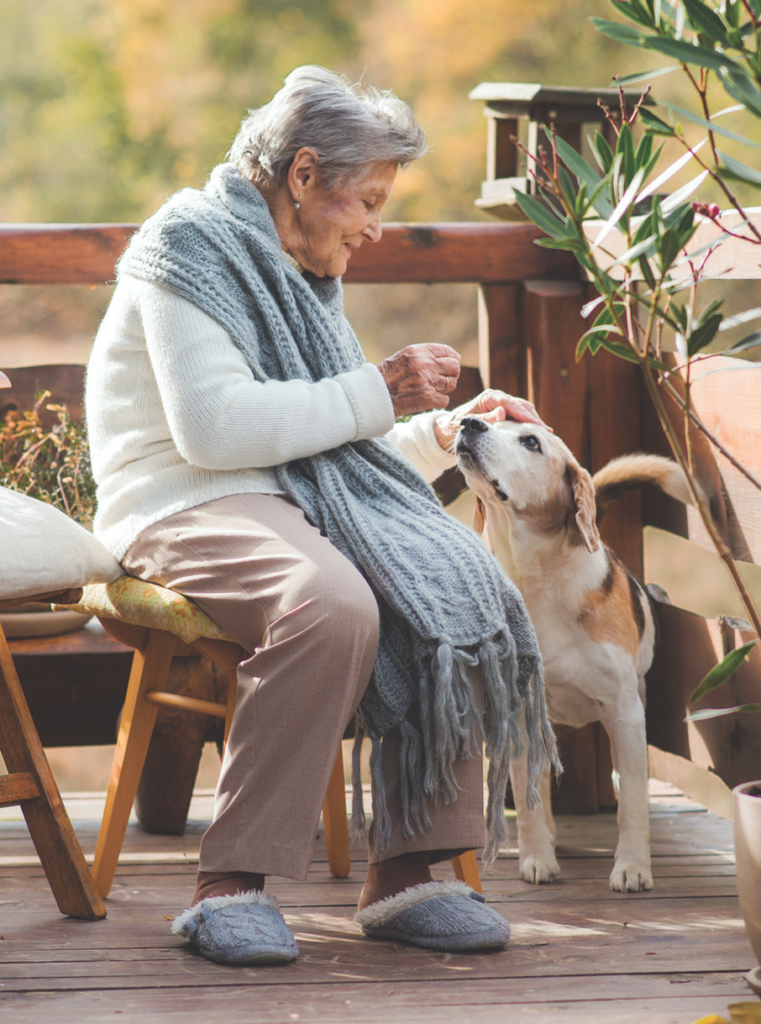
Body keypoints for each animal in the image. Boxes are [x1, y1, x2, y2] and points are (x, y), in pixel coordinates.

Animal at [454, 415, 692, 888]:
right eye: (494, 420)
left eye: (531, 441)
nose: (469, 421)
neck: (537, 582)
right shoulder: (518, 711)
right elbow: (529, 799)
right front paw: (536, 858)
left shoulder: (624, 713)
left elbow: (631, 803)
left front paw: (632, 867)